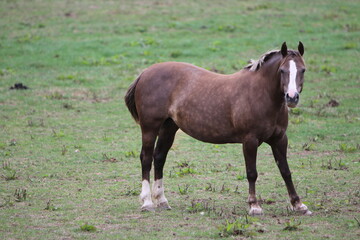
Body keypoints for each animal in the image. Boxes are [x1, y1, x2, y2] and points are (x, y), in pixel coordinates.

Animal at [125, 41, 310, 216]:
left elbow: (285, 171)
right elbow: (252, 172)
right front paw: (254, 206)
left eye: (303, 70)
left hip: (168, 128)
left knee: (159, 157)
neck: (261, 93)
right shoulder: (250, 140)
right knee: (146, 158)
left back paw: (162, 200)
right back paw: (147, 202)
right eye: (282, 71)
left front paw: (298, 205)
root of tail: (145, 73)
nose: (292, 97)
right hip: (150, 128)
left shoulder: (280, 139)